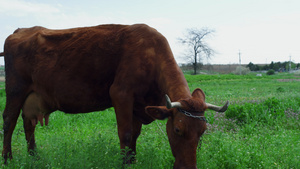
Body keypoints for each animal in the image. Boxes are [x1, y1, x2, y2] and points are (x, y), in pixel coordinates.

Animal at [1, 24, 229, 169]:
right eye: (177, 130)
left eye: (202, 132)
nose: (189, 167)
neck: (150, 55)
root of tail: (20, 31)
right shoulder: (121, 94)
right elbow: (125, 134)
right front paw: (124, 163)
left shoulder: (139, 105)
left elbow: (135, 136)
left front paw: (133, 161)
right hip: (15, 89)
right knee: (9, 120)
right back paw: (7, 159)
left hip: (32, 97)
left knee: (28, 123)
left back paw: (34, 157)